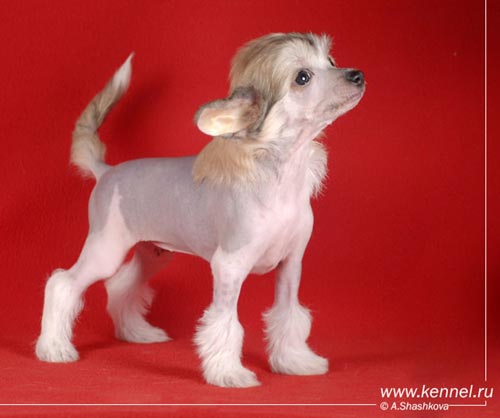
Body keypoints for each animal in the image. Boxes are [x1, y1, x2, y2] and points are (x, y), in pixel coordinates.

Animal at [36, 32, 365, 387]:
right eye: (302, 77)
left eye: (330, 61)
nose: (357, 75)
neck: (280, 181)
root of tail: (106, 171)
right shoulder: (229, 267)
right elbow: (225, 323)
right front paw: (228, 372)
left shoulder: (291, 266)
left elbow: (288, 316)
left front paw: (293, 361)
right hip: (105, 250)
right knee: (63, 284)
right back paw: (53, 348)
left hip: (153, 253)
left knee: (122, 285)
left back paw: (136, 333)